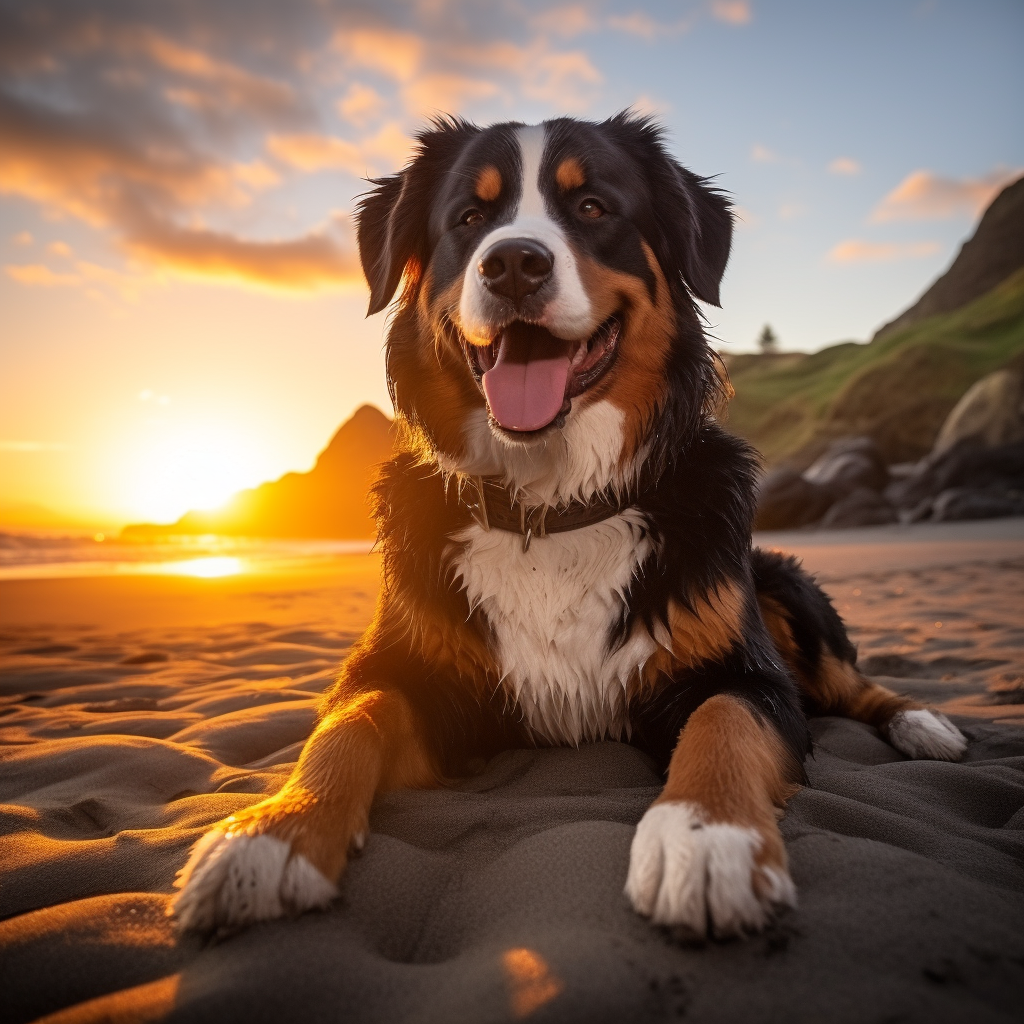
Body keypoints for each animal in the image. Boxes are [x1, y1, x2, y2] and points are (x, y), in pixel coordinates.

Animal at [169, 112, 966, 937]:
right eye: (470, 218)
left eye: (591, 207)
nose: (513, 264)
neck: (549, 508)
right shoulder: (418, 675)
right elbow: (348, 724)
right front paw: (273, 832)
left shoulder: (746, 674)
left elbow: (723, 721)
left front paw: (707, 836)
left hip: (786, 586)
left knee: (854, 683)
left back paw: (924, 724)